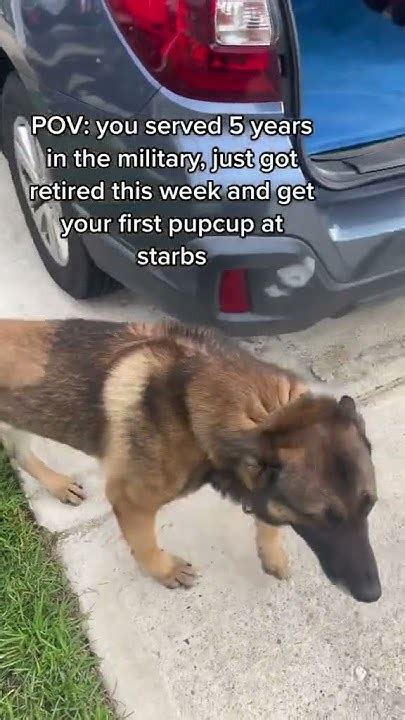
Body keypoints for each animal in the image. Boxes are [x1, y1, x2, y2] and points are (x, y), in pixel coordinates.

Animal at [0, 320, 380, 600]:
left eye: (370, 507)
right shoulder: (131, 501)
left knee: (19, 452)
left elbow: (266, 514)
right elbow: (145, 544)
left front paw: (272, 552)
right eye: (319, 517)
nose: (372, 594)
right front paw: (164, 570)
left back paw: (57, 484)